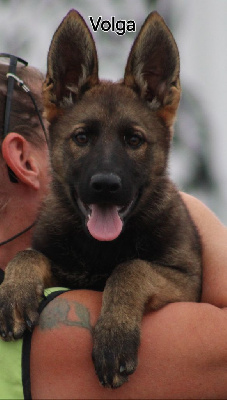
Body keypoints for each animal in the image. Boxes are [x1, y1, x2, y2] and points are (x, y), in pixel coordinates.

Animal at [0, 10, 202, 390]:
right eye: (82, 138)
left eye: (134, 140)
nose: (105, 185)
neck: (101, 249)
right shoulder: (65, 270)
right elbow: (28, 253)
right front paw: (16, 292)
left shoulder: (187, 282)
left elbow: (131, 268)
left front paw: (114, 336)